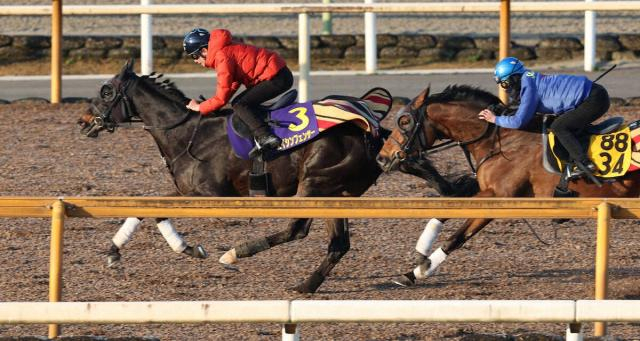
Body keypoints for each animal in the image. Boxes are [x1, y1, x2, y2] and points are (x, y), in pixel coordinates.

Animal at [80, 59, 390, 292]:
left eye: (107, 91)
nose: (83, 121)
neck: (187, 134)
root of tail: (372, 131)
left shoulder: (212, 195)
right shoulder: (185, 190)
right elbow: (150, 209)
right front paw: (117, 252)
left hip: (316, 182)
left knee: (297, 230)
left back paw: (234, 254)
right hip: (337, 192)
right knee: (338, 244)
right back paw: (307, 285)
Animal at [376, 83, 640, 286]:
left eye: (405, 121)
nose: (382, 157)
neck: (501, 139)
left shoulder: (498, 195)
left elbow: (456, 236)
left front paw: (422, 265)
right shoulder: (488, 192)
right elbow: (448, 218)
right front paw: (415, 269)